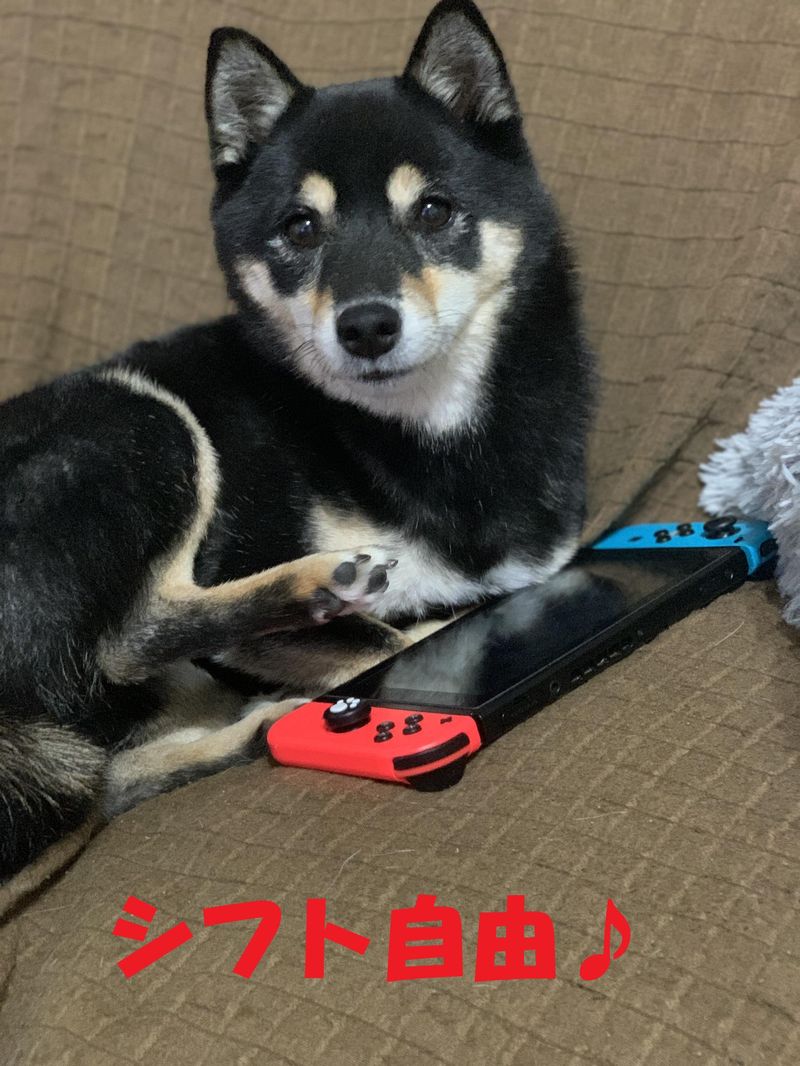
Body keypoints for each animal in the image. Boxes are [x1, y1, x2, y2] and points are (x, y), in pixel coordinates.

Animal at [0, 0, 595, 880]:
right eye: (301, 227)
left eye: (433, 211)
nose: (367, 325)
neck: (418, 434)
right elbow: (383, 641)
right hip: (142, 420)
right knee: (131, 643)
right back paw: (321, 586)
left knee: (106, 777)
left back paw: (254, 726)